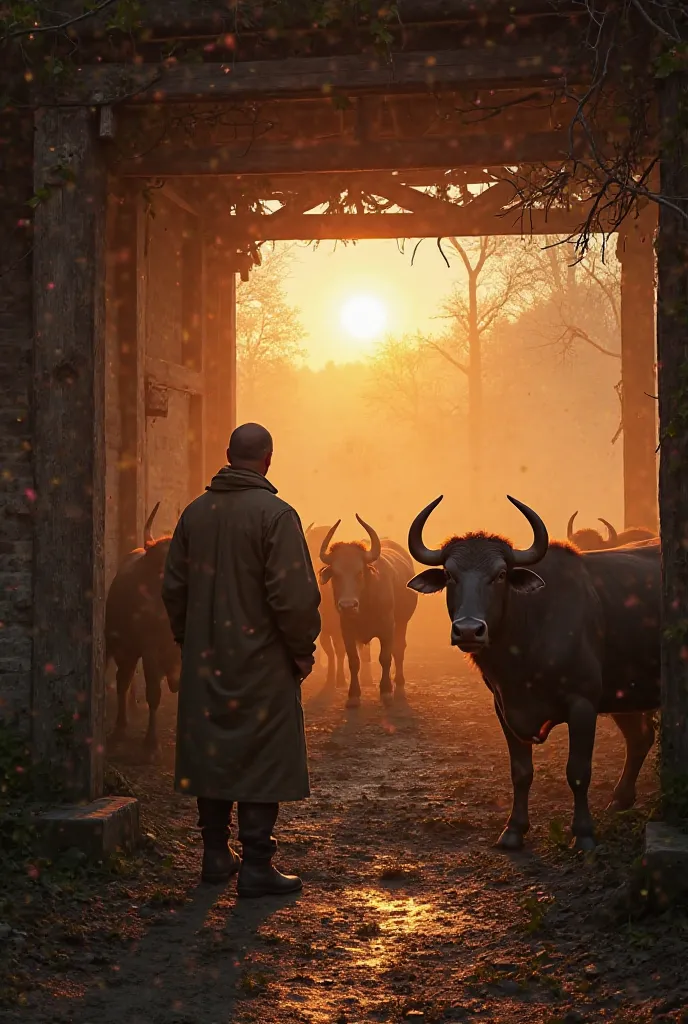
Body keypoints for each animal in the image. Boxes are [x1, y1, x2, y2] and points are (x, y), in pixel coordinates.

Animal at [104, 499, 180, 757]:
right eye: (158, 567)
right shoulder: (149, 650)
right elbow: (154, 693)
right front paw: (151, 744)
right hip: (119, 647)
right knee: (122, 680)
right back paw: (119, 729)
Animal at [319, 516, 415, 708]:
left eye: (359, 572)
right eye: (336, 574)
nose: (348, 605)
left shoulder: (387, 628)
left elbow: (385, 657)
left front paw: (386, 691)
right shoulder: (346, 630)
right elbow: (353, 661)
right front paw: (353, 695)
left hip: (402, 623)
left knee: (399, 650)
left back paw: (399, 686)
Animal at [405, 499, 659, 851]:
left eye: (500, 574)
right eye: (450, 575)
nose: (469, 630)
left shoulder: (583, 703)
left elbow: (578, 771)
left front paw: (583, 832)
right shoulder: (504, 706)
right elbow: (521, 771)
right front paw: (513, 829)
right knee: (640, 738)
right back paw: (619, 801)